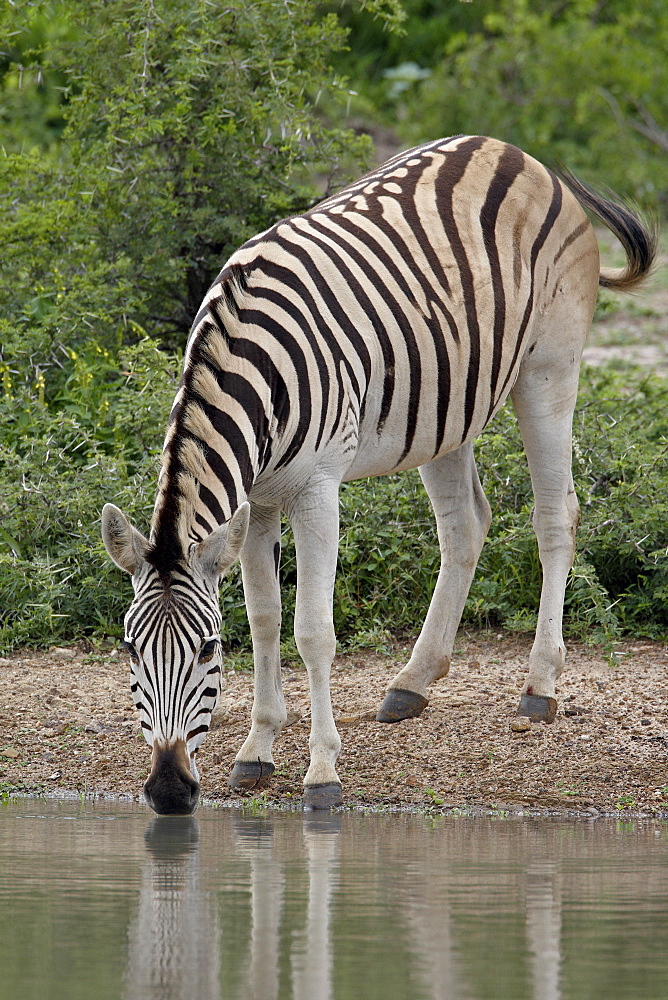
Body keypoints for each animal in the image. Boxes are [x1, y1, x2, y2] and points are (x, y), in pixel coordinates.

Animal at [102, 137, 656, 816]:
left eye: (207, 650)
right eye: (130, 650)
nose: (169, 789)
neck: (249, 365)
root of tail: (515, 153)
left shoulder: (316, 490)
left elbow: (312, 629)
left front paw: (321, 772)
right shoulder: (257, 500)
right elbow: (264, 618)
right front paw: (256, 750)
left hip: (549, 370)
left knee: (556, 516)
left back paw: (540, 687)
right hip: (447, 408)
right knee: (466, 524)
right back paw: (413, 683)